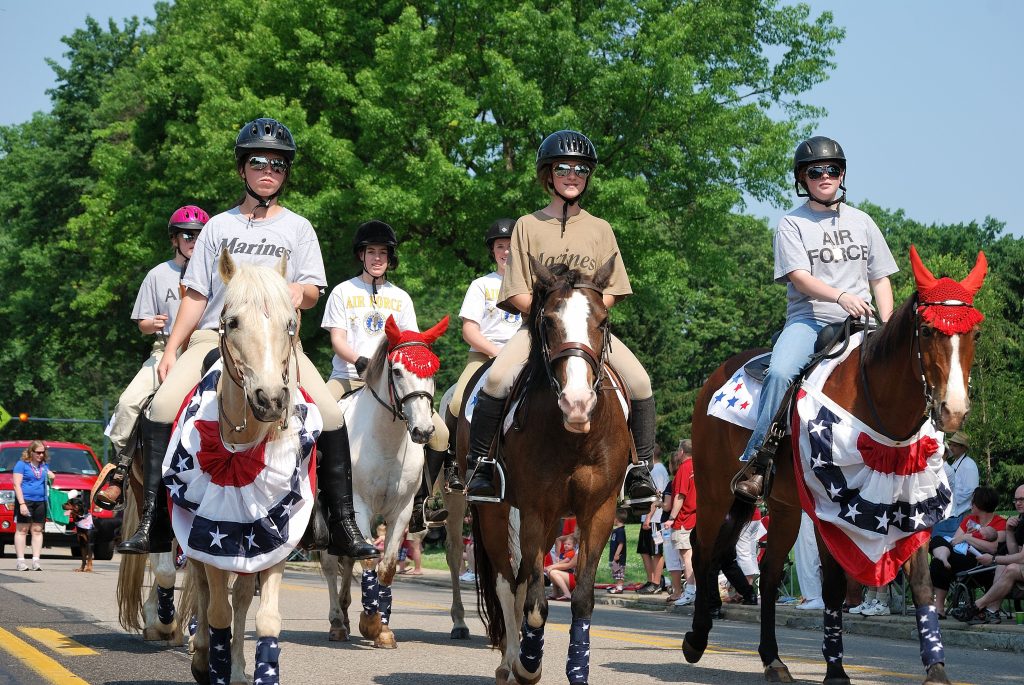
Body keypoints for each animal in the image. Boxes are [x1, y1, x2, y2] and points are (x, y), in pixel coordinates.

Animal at [163, 250, 313, 683]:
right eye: (232, 322)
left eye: (290, 323)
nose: (271, 398)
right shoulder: (209, 535)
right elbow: (216, 610)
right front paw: (209, 664)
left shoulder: (276, 536)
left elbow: (265, 616)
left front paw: (258, 671)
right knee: (205, 590)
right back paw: (203, 654)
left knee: (243, 597)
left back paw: (239, 667)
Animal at [317, 313, 450, 647]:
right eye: (398, 371)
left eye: (433, 370)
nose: (423, 431)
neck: (388, 441)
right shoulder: (360, 507)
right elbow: (368, 560)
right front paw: (370, 622)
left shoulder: (400, 511)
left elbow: (386, 566)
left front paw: (384, 629)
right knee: (330, 564)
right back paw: (337, 622)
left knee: (346, 558)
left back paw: (346, 614)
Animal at [466, 255, 626, 683]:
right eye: (549, 321)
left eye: (602, 320)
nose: (577, 402)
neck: (574, 438)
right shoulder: (534, 510)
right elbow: (536, 602)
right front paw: (529, 663)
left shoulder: (597, 511)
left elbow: (582, 598)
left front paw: (578, 669)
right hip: (495, 513)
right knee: (509, 584)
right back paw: (510, 662)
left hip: (554, 522)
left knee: (522, 581)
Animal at [684, 246, 987, 683]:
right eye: (928, 330)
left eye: (974, 333)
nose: (954, 411)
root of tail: (714, 379)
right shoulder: (832, 508)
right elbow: (833, 588)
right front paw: (835, 669)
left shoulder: (908, 508)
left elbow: (922, 585)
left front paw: (936, 670)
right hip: (712, 491)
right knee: (703, 548)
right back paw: (696, 637)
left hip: (783, 506)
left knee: (769, 572)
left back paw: (773, 659)